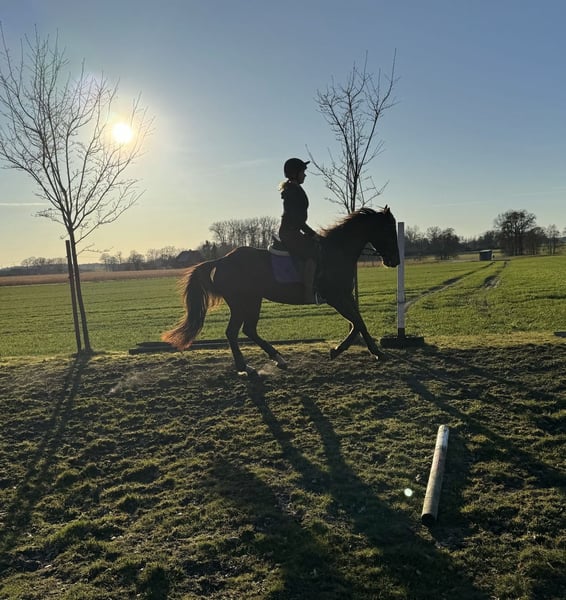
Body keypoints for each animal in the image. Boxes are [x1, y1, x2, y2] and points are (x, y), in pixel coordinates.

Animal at [162, 206, 400, 374]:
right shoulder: (336, 297)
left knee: (246, 331)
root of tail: (221, 260)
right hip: (245, 302)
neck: (337, 251)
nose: (395, 260)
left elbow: (358, 322)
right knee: (236, 332)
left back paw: (274, 360)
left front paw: (353, 350)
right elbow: (358, 322)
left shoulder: (345, 296)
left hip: (251, 301)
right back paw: (250, 366)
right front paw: (360, 351)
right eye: (389, 231)